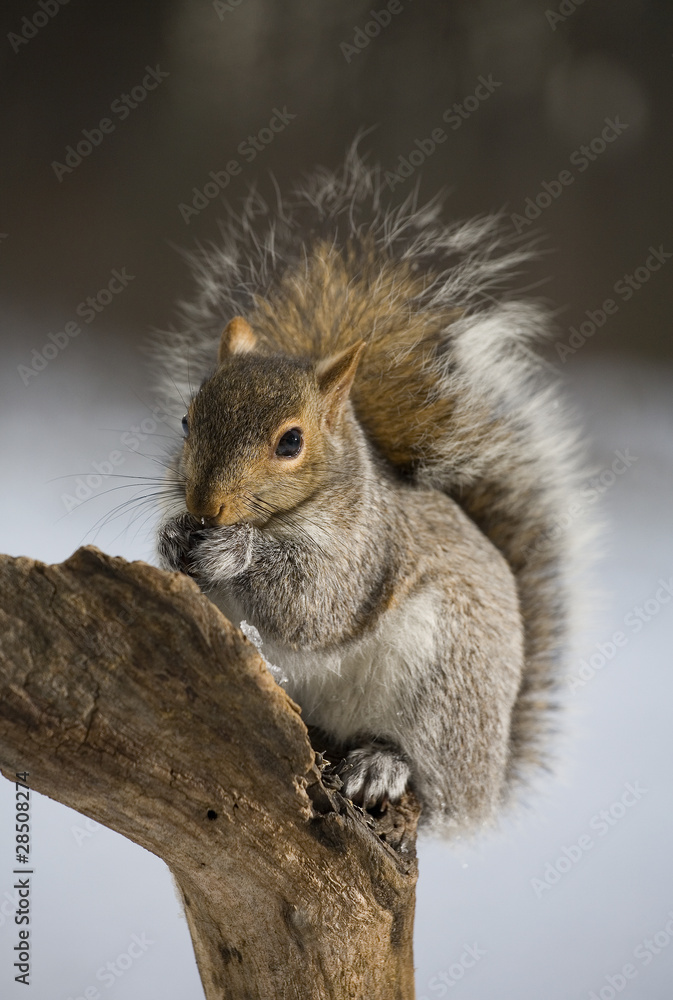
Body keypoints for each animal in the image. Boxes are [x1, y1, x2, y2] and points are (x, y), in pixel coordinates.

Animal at [154, 149, 590, 835]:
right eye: (185, 421)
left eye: (291, 442)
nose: (205, 508)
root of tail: (489, 779)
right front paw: (174, 539)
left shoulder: (365, 549)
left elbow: (315, 604)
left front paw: (233, 552)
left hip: (446, 686)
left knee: (431, 784)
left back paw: (384, 764)